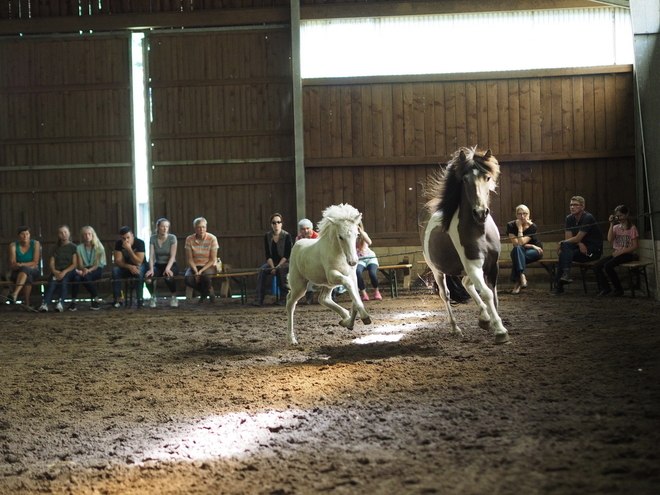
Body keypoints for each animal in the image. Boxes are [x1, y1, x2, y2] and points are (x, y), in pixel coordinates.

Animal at [286, 203, 372, 346]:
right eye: (340, 236)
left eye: (357, 234)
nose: (353, 261)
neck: (340, 254)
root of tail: (297, 244)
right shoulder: (332, 275)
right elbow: (349, 286)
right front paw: (365, 316)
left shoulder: (352, 276)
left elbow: (355, 295)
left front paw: (350, 322)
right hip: (300, 285)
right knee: (290, 303)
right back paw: (292, 339)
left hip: (327, 284)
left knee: (323, 299)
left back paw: (345, 318)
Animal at [418, 147, 510, 344]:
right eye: (465, 179)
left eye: (487, 177)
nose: (481, 213)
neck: (480, 231)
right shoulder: (473, 265)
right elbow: (487, 293)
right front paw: (500, 331)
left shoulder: (492, 266)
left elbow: (494, 296)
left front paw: (492, 322)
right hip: (437, 270)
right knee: (445, 294)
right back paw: (456, 329)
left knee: (466, 283)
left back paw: (484, 318)